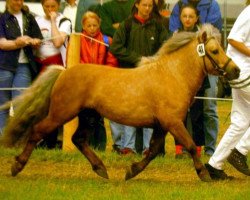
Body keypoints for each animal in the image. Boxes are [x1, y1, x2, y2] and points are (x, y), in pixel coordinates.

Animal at [0, 23, 240, 181]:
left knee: (79, 140)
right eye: (214, 51)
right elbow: (190, 145)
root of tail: (64, 72)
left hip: (89, 115)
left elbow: (153, 151)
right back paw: (17, 166)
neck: (172, 76)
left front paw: (131, 171)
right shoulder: (173, 122)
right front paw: (204, 175)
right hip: (61, 113)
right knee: (37, 131)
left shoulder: (161, 125)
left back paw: (101, 169)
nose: (235, 70)